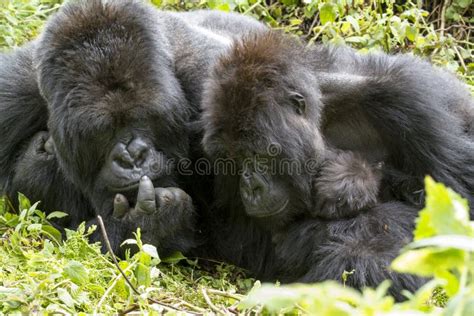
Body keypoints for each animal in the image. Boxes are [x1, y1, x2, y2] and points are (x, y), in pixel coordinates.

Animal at [201, 31, 474, 298]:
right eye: (234, 158)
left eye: (259, 153)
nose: (251, 188)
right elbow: (248, 238)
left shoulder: (407, 98)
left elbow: (457, 204)